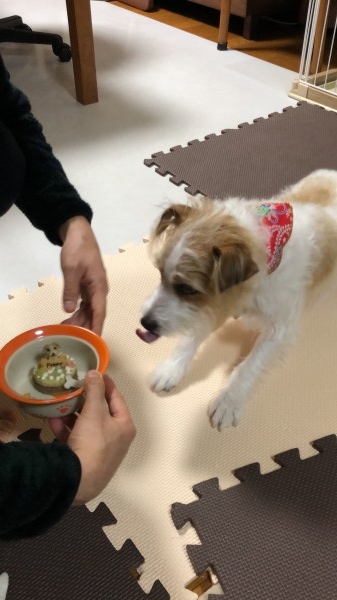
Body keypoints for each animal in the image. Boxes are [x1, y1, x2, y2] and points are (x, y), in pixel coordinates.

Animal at [135, 171, 336, 428]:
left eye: (187, 289)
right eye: (160, 273)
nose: (145, 323)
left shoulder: (279, 330)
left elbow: (249, 366)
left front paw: (228, 401)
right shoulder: (214, 304)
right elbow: (189, 340)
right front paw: (171, 370)